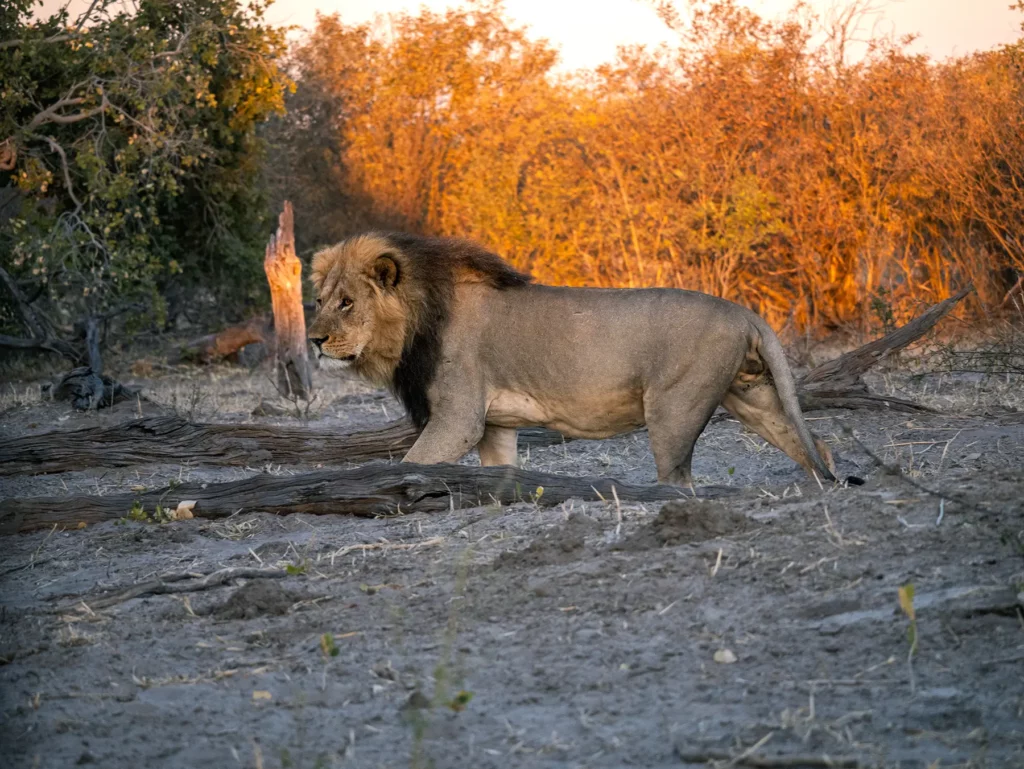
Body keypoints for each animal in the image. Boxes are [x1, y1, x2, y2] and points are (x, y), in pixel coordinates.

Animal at [307, 232, 838, 486]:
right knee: (813, 444)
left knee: (678, 477)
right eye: (319, 300)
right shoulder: (494, 426)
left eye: (347, 303)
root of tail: (745, 312)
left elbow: (408, 464)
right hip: (751, 395)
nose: (313, 340)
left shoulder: (459, 418)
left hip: (673, 409)